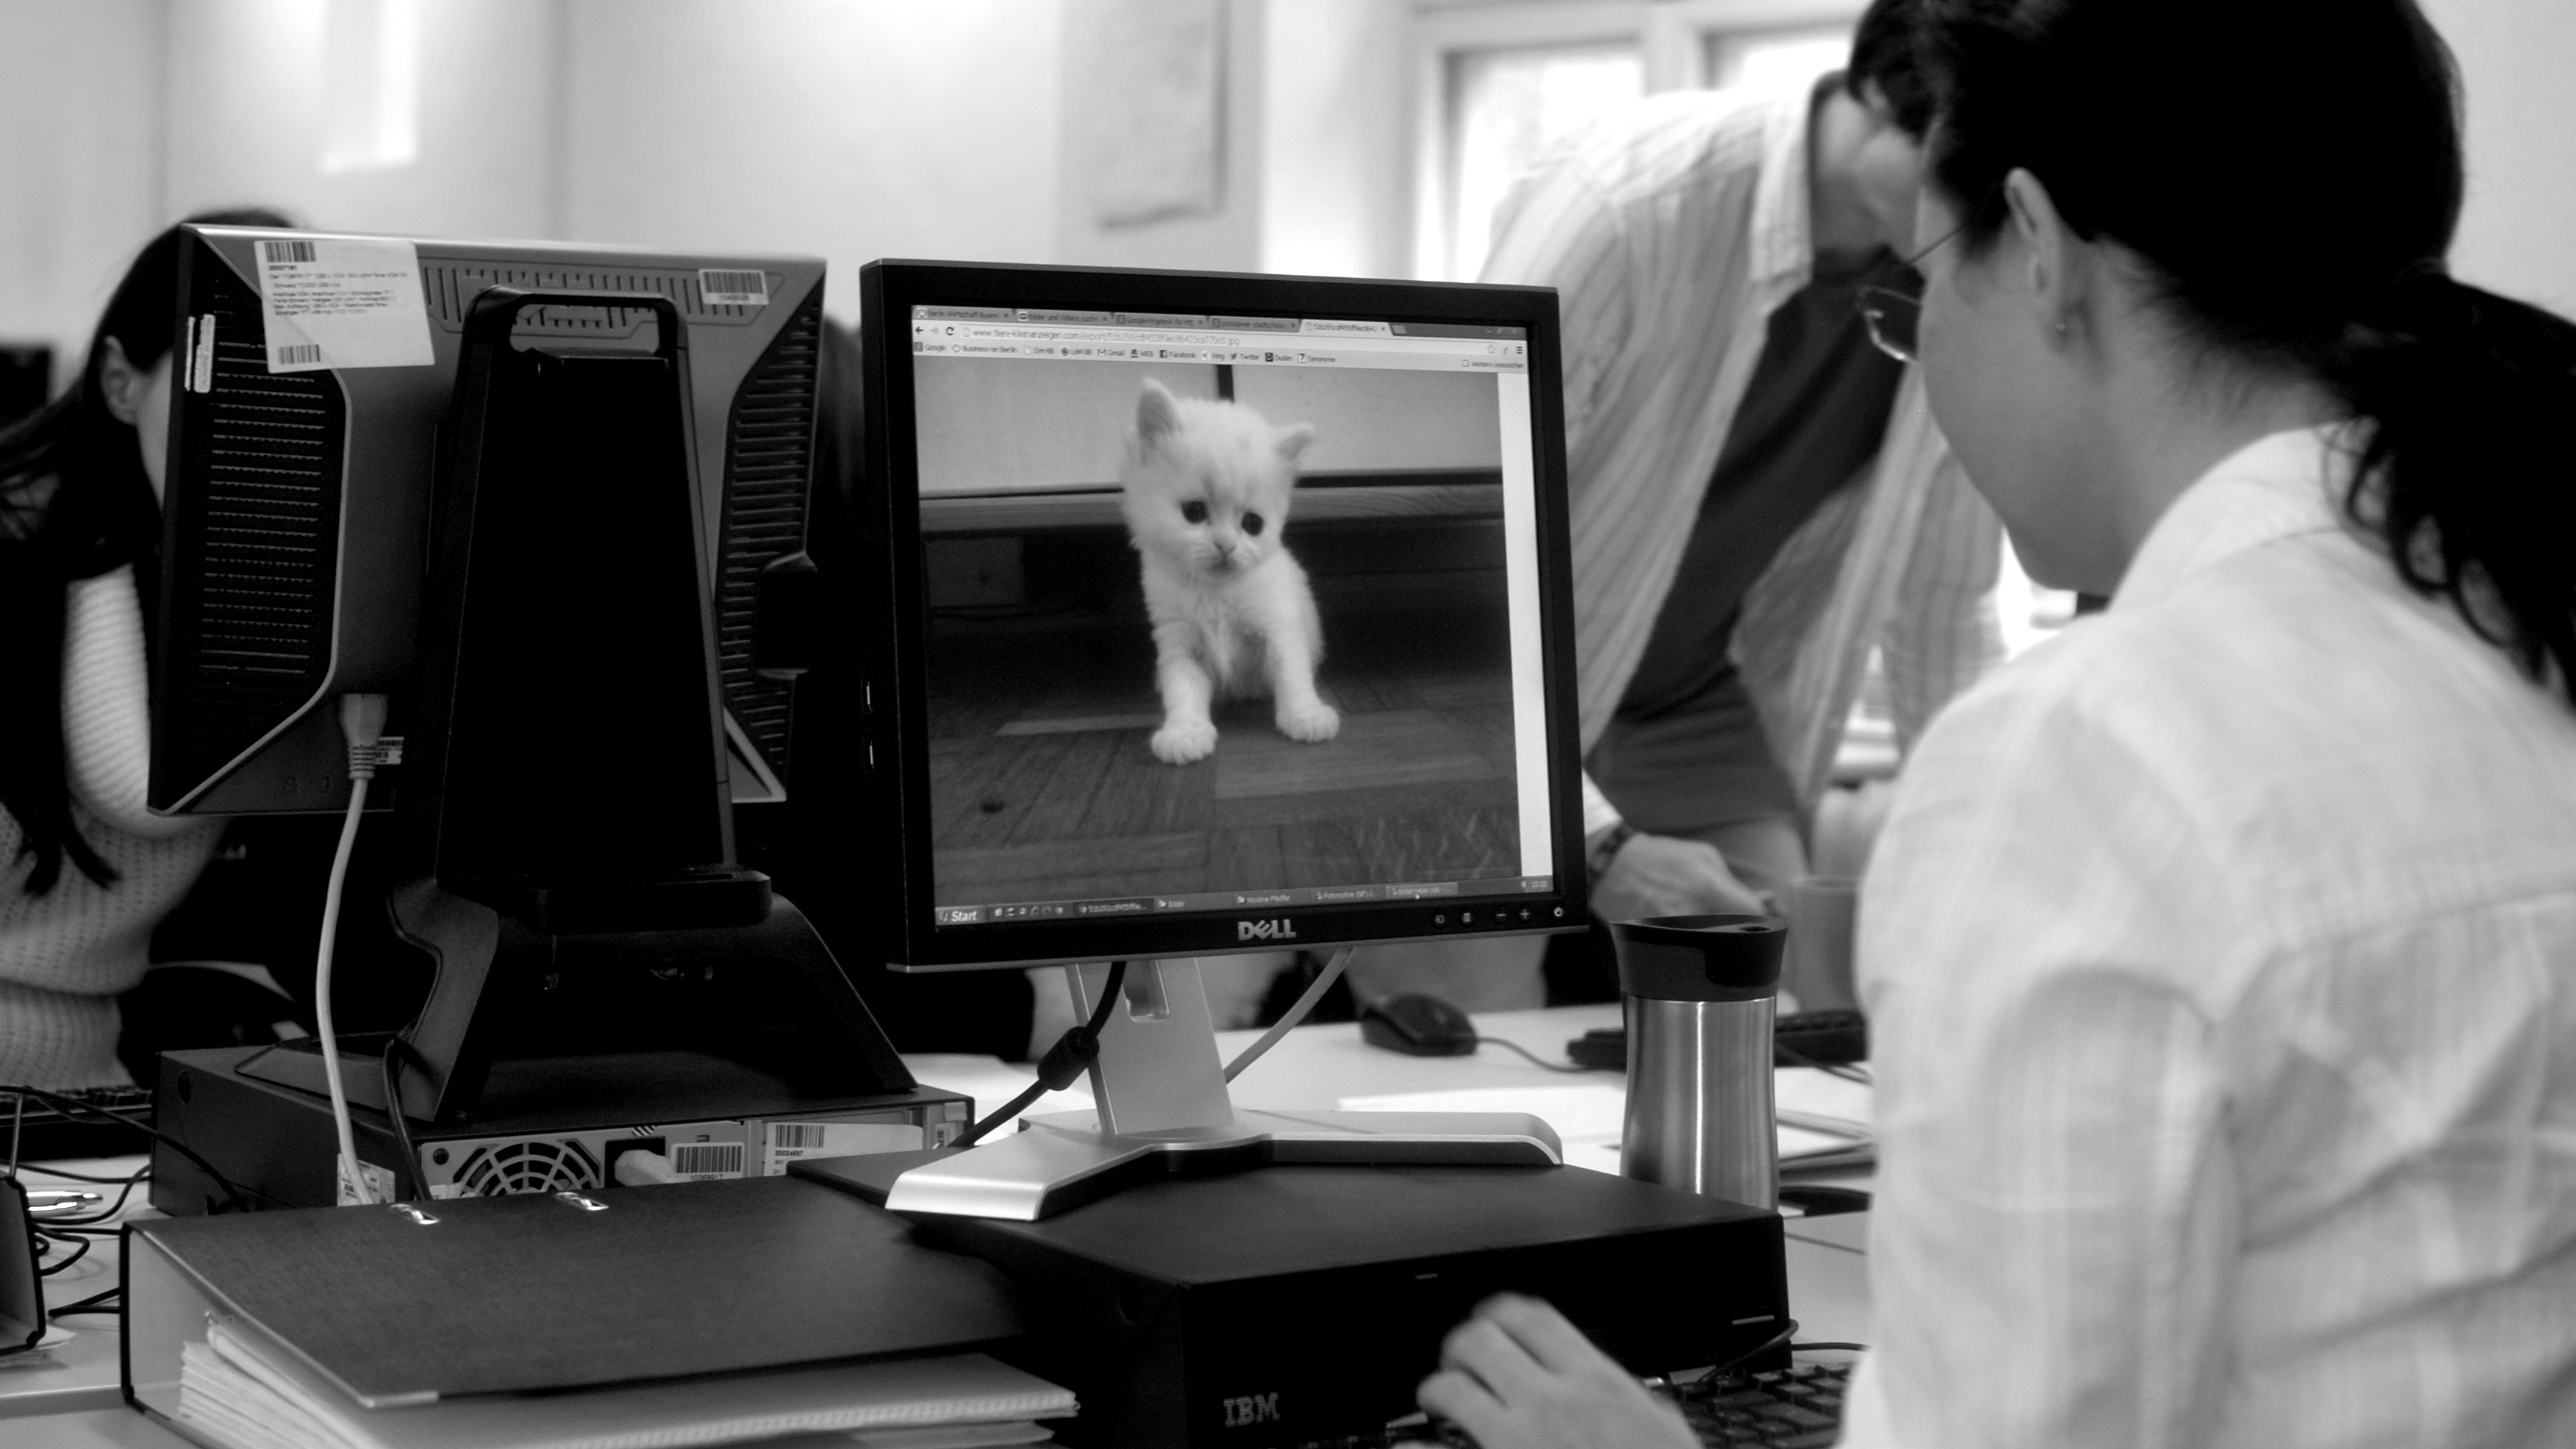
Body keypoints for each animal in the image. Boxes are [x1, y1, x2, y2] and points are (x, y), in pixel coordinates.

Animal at [1120, 378, 1338, 765]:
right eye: (1194, 512)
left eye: (1252, 524)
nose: (1226, 545)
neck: (1214, 592)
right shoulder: (1179, 641)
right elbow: (1182, 689)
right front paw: (1185, 731)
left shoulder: (1279, 624)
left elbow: (1292, 673)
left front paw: (1306, 715)